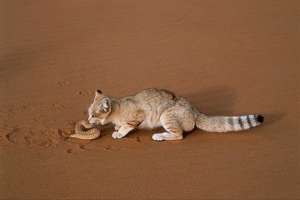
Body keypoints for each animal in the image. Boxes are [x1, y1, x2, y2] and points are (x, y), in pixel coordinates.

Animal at [86, 88, 262, 141]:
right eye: (89, 113)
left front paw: (119, 132)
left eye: (93, 115)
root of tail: (195, 110)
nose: (87, 120)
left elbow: (127, 126)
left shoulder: (138, 116)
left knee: (179, 135)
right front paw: (117, 128)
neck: (117, 107)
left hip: (166, 116)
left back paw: (160, 136)